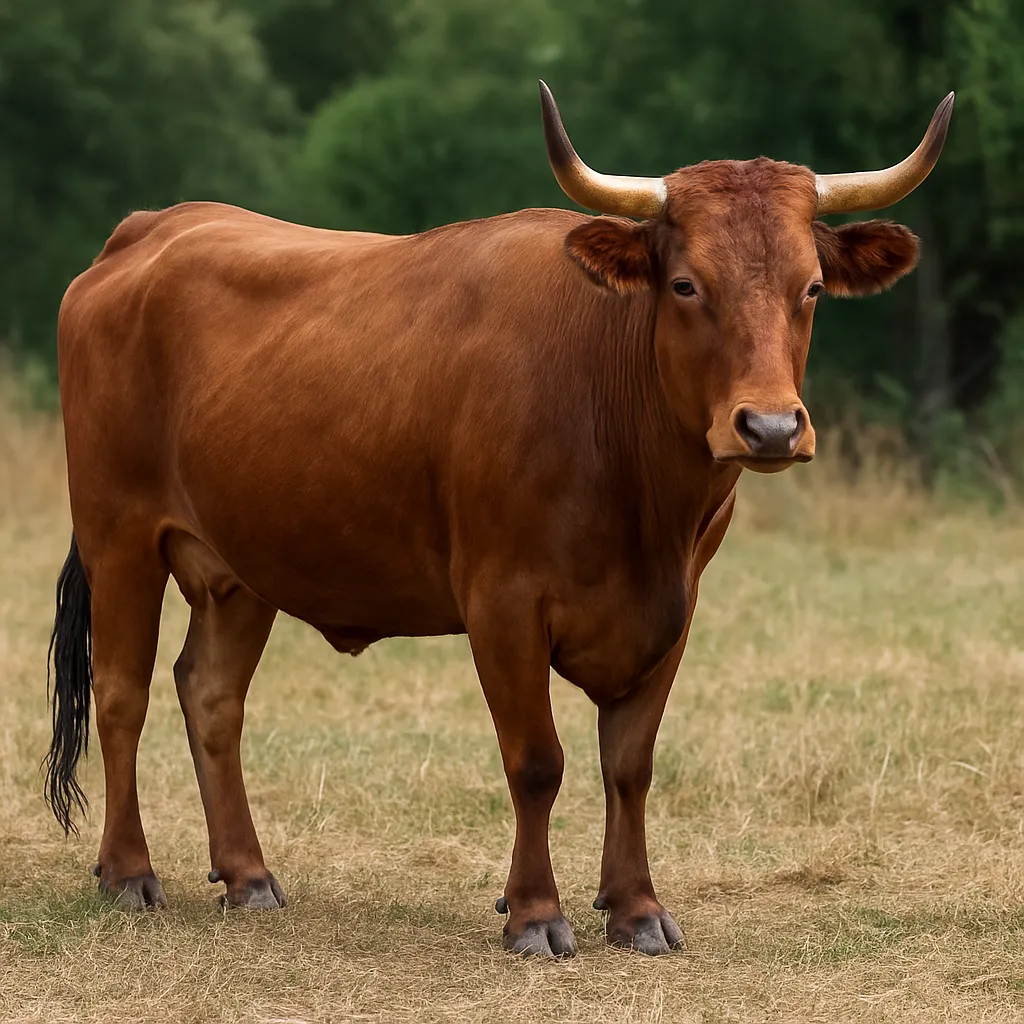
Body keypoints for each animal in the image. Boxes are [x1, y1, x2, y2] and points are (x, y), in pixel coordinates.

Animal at [46, 82, 953, 957]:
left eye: (811, 289)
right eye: (687, 284)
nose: (768, 428)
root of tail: (151, 229)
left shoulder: (674, 615)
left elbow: (630, 765)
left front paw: (636, 909)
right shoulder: (504, 605)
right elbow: (537, 763)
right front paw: (534, 913)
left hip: (238, 568)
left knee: (212, 696)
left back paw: (248, 876)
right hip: (119, 535)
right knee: (121, 692)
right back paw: (128, 872)